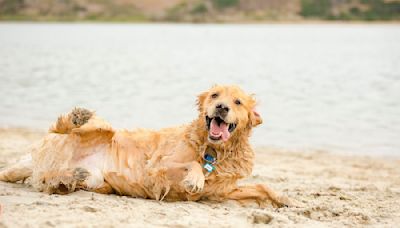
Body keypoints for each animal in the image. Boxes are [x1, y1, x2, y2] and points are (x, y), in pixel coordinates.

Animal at [1, 84, 292, 208]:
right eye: (214, 95)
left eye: (238, 102)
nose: (221, 107)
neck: (214, 151)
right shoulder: (158, 168)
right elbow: (191, 164)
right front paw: (195, 179)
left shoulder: (221, 192)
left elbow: (260, 187)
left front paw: (282, 198)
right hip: (101, 129)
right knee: (59, 129)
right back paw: (76, 119)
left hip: (97, 181)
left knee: (48, 181)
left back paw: (69, 178)